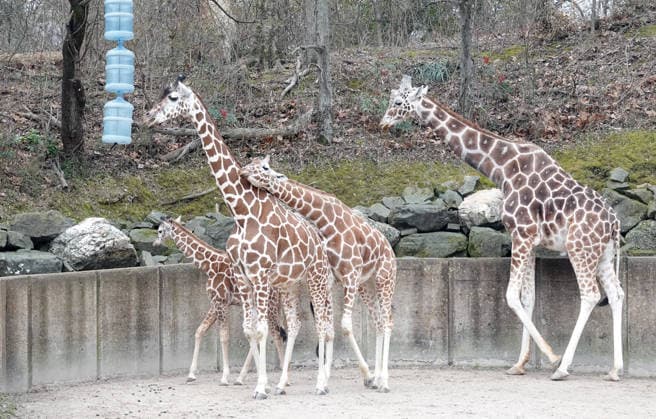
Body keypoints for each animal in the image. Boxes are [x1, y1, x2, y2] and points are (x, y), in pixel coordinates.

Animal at [153, 217, 288, 386]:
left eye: (160, 231)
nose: (155, 244)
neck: (210, 266)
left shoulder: (220, 301)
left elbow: (224, 336)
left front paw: (224, 377)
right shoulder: (215, 302)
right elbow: (199, 331)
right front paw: (191, 374)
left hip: (270, 304)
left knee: (276, 334)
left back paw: (282, 378)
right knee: (261, 334)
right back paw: (242, 377)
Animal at [240, 155, 397, 392]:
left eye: (265, 167)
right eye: (252, 162)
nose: (243, 171)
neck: (326, 221)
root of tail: (389, 248)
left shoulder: (349, 275)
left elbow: (344, 326)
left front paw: (362, 376)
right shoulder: (334, 279)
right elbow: (328, 326)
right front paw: (327, 378)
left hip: (384, 278)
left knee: (387, 321)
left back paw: (384, 382)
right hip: (366, 284)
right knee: (378, 321)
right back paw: (378, 378)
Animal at [380, 75, 624, 381]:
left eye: (399, 102)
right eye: (390, 98)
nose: (383, 123)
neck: (502, 168)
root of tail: (614, 222)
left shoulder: (521, 234)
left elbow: (510, 297)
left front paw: (551, 357)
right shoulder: (531, 242)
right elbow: (528, 298)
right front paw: (520, 363)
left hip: (580, 250)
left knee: (591, 295)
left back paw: (563, 367)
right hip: (603, 254)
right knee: (616, 294)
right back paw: (615, 369)